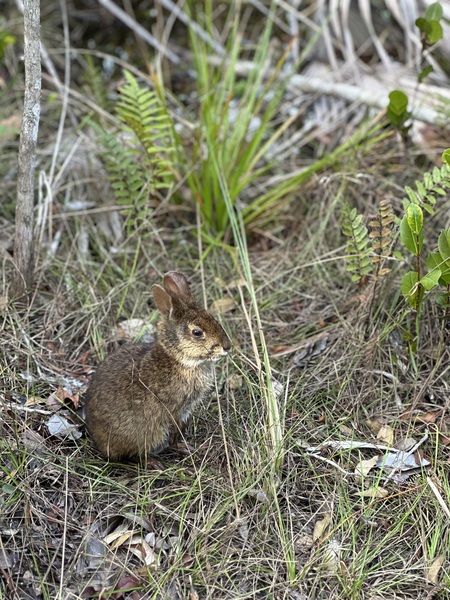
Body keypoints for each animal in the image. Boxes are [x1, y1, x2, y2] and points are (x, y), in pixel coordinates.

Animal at [85, 272, 232, 464]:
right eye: (197, 332)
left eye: (213, 318)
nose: (227, 346)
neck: (180, 360)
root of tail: (98, 441)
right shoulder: (174, 410)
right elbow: (175, 432)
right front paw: (184, 449)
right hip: (145, 434)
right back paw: (154, 463)